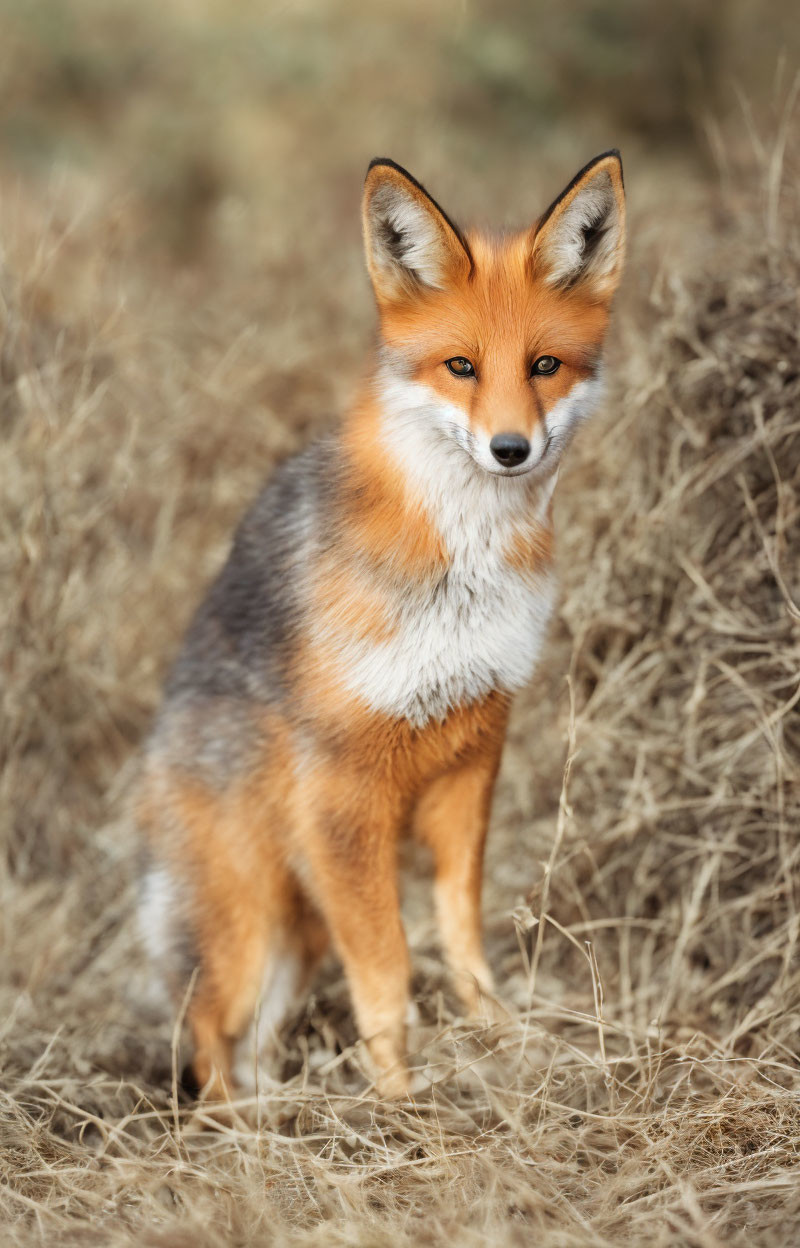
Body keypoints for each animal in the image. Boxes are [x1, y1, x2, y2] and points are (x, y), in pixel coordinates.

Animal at [136, 151, 624, 1098]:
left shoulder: (473, 754)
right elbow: (387, 971)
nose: (511, 449)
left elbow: (461, 938)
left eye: (545, 364)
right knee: (207, 1041)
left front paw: (501, 1041)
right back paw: (242, 1126)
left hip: (295, 938)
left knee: (248, 1045)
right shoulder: (342, 792)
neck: (462, 575)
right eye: (460, 366)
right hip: (254, 924)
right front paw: (400, 1100)